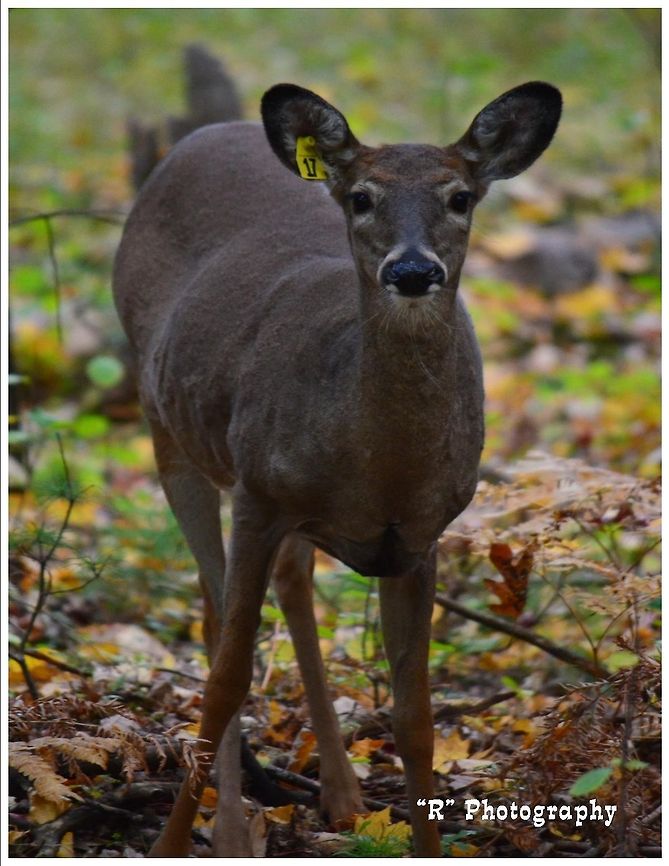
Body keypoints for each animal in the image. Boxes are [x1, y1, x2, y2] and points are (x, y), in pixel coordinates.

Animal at [113, 78, 561, 857]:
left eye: (460, 196)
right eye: (361, 197)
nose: (412, 270)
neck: (378, 466)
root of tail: (207, 134)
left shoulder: (420, 533)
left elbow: (416, 716)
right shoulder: (259, 493)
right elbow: (227, 678)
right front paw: (172, 845)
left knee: (292, 588)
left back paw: (344, 796)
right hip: (167, 425)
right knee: (211, 613)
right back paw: (233, 830)